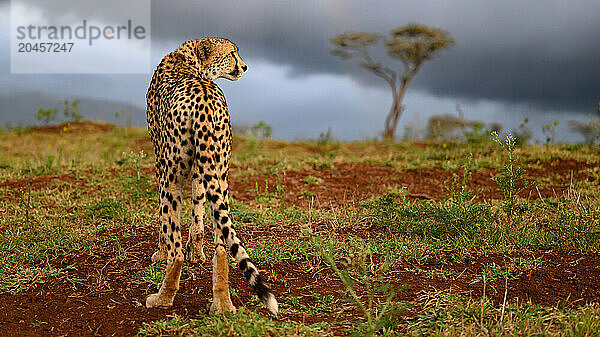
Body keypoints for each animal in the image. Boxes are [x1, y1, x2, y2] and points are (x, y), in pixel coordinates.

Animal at [145, 37, 278, 316]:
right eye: (232, 53)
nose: (245, 66)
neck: (190, 61)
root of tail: (204, 97)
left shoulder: (160, 161)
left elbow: (165, 224)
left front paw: (160, 253)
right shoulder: (202, 170)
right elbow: (198, 216)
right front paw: (197, 254)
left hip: (171, 176)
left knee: (176, 249)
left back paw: (162, 298)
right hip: (221, 172)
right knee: (223, 245)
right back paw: (223, 304)